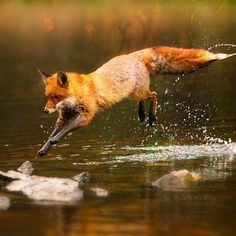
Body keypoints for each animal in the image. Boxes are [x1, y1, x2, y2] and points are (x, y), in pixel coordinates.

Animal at [37, 46, 236, 157]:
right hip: (134, 94)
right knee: (144, 100)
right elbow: (53, 133)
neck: (79, 93)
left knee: (154, 95)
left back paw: (151, 117)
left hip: (138, 92)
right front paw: (44, 149)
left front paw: (54, 141)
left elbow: (61, 133)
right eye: (47, 97)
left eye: (56, 97)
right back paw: (141, 115)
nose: (45, 111)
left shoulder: (86, 115)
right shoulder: (64, 116)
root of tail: (132, 55)